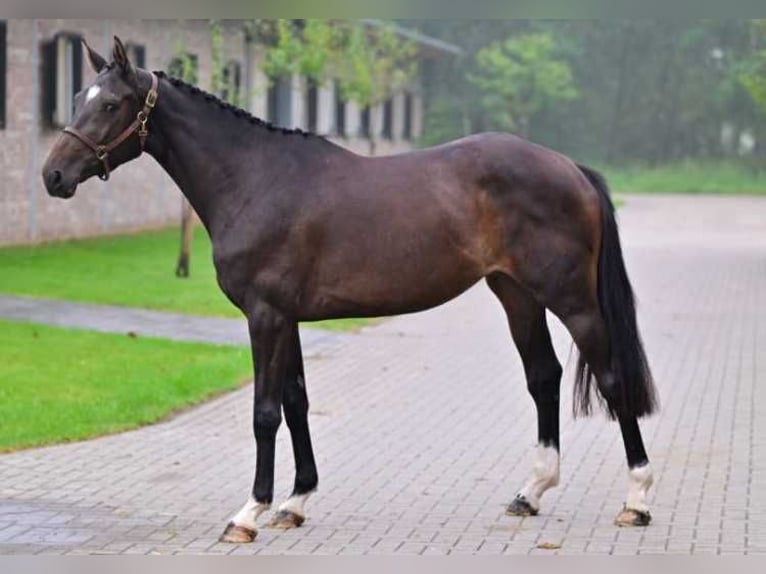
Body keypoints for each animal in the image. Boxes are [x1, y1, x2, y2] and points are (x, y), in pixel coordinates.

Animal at [40, 37, 660, 544]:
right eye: (75, 95)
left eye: (110, 104)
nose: (53, 176)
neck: (255, 179)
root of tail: (571, 169)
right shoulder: (286, 318)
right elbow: (296, 403)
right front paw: (294, 503)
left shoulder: (265, 316)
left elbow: (265, 412)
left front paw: (249, 513)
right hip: (516, 294)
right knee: (543, 378)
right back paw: (530, 494)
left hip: (573, 301)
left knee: (611, 380)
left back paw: (636, 499)